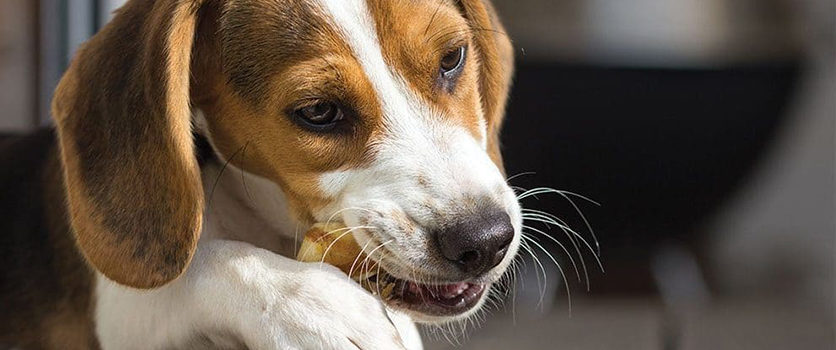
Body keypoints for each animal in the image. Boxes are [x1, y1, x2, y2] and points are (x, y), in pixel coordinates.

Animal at [1, 0, 516, 348]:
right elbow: (200, 265)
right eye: (318, 111)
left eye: (452, 58)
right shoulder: (117, 312)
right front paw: (321, 311)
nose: (486, 239)